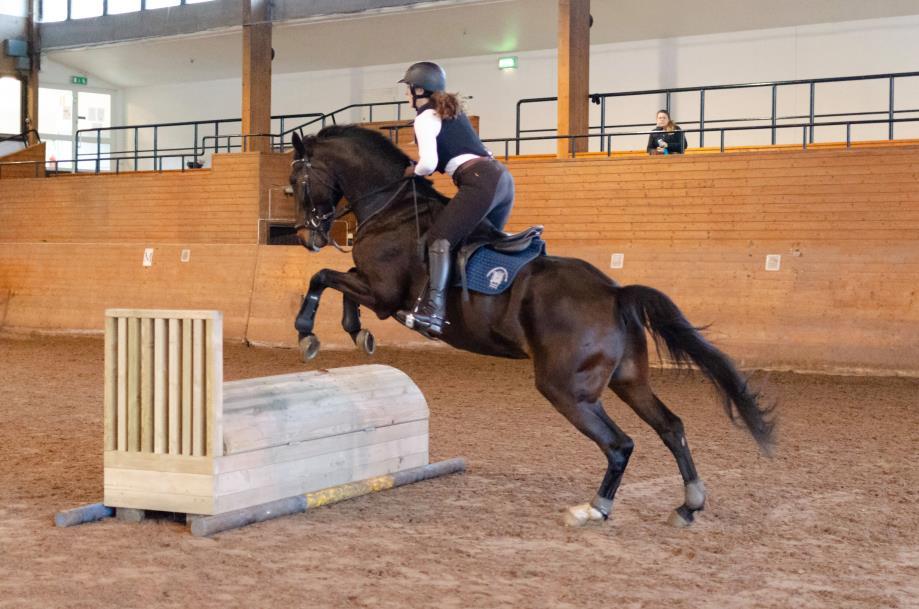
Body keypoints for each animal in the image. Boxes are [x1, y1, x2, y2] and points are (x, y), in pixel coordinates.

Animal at [290, 124, 776, 528]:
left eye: (296, 183)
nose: (306, 238)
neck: (391, 209)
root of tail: (615, 292)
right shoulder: (373, 289)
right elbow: (337, 281)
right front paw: (356, 332)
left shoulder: (384, 294)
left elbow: (324, 277)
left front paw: (309, 330)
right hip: (628, 379)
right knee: (671, 426)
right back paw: (689, 504)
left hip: (565, 388)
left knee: (620, 444)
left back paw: (595, 509)